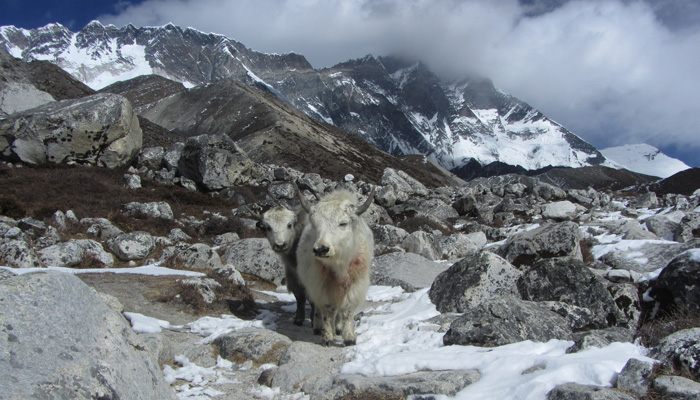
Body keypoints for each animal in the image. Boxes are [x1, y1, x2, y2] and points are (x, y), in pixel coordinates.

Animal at [297, 186, 375, 346]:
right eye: (315, 224)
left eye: (343, 223)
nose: (321, 249)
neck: (340, 266)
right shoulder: (321, 285)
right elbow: (327, 310)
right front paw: (327, 337)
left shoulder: (355, 285)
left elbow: (348, 310)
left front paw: (349, 337)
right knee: (318, 307)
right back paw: (318, 327)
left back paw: (338, 328)